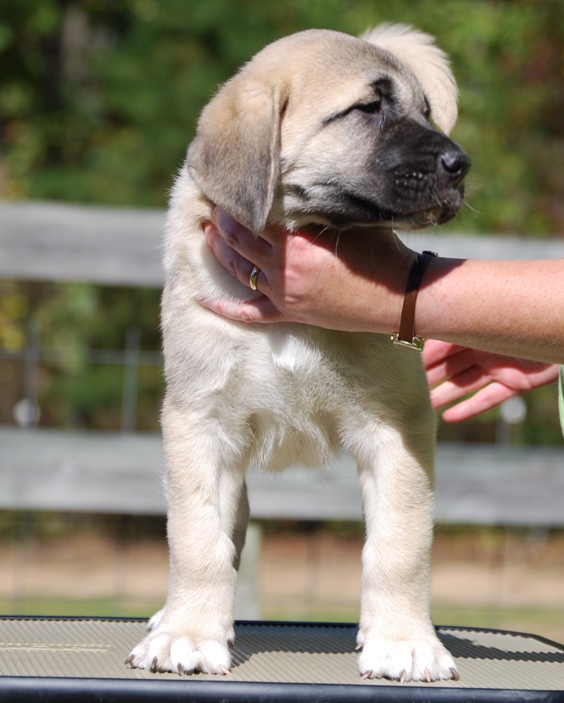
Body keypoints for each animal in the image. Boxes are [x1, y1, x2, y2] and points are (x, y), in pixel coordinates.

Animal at [127, 24, 470, 682]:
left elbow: (399, 545)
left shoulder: (399, 427)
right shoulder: (199, 422)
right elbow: (198, 539)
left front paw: (404, 641)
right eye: (368, 108)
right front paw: (187, 633)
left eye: (425, 111)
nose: (461, 165)